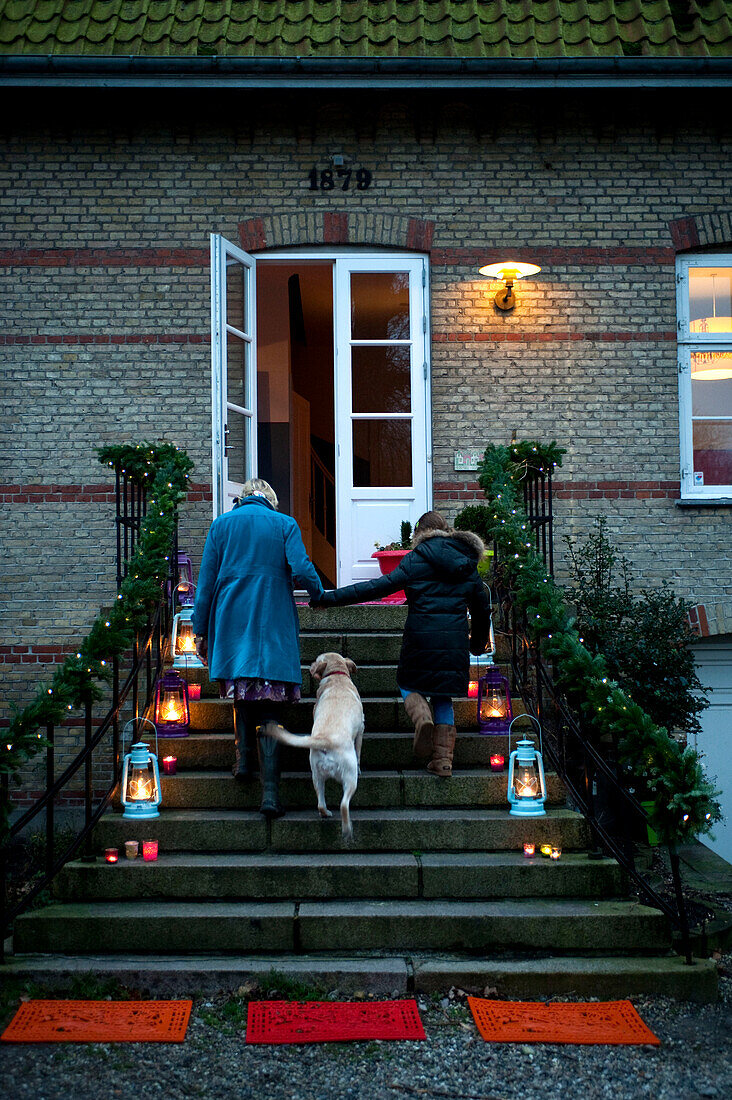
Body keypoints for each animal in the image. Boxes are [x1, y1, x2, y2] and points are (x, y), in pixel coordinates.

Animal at [263, 646, 365, 836]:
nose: (310, 665)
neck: (336, 676)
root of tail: (324, 741)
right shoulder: (361, 729)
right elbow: (359, 751)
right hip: (349, 776)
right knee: (344, 804)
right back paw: (347, 829)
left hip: (316, 775)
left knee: (320, 802)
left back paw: (326, 813)